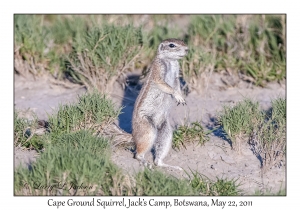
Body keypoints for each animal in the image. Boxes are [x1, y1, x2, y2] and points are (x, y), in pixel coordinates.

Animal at [112, 38, 188, 171]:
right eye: (172, 45)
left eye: (182, 41)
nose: (187, 49)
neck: (170, 61)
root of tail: (134, 136)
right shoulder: (158, 70)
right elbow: (166, 86)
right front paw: (177, 96)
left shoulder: (176, 76)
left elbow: (177, 85)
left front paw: (181, 96)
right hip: (148, 130)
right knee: (137, 154)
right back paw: (144, 161)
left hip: (165, 132)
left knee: (158, 158)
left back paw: (169, 166)